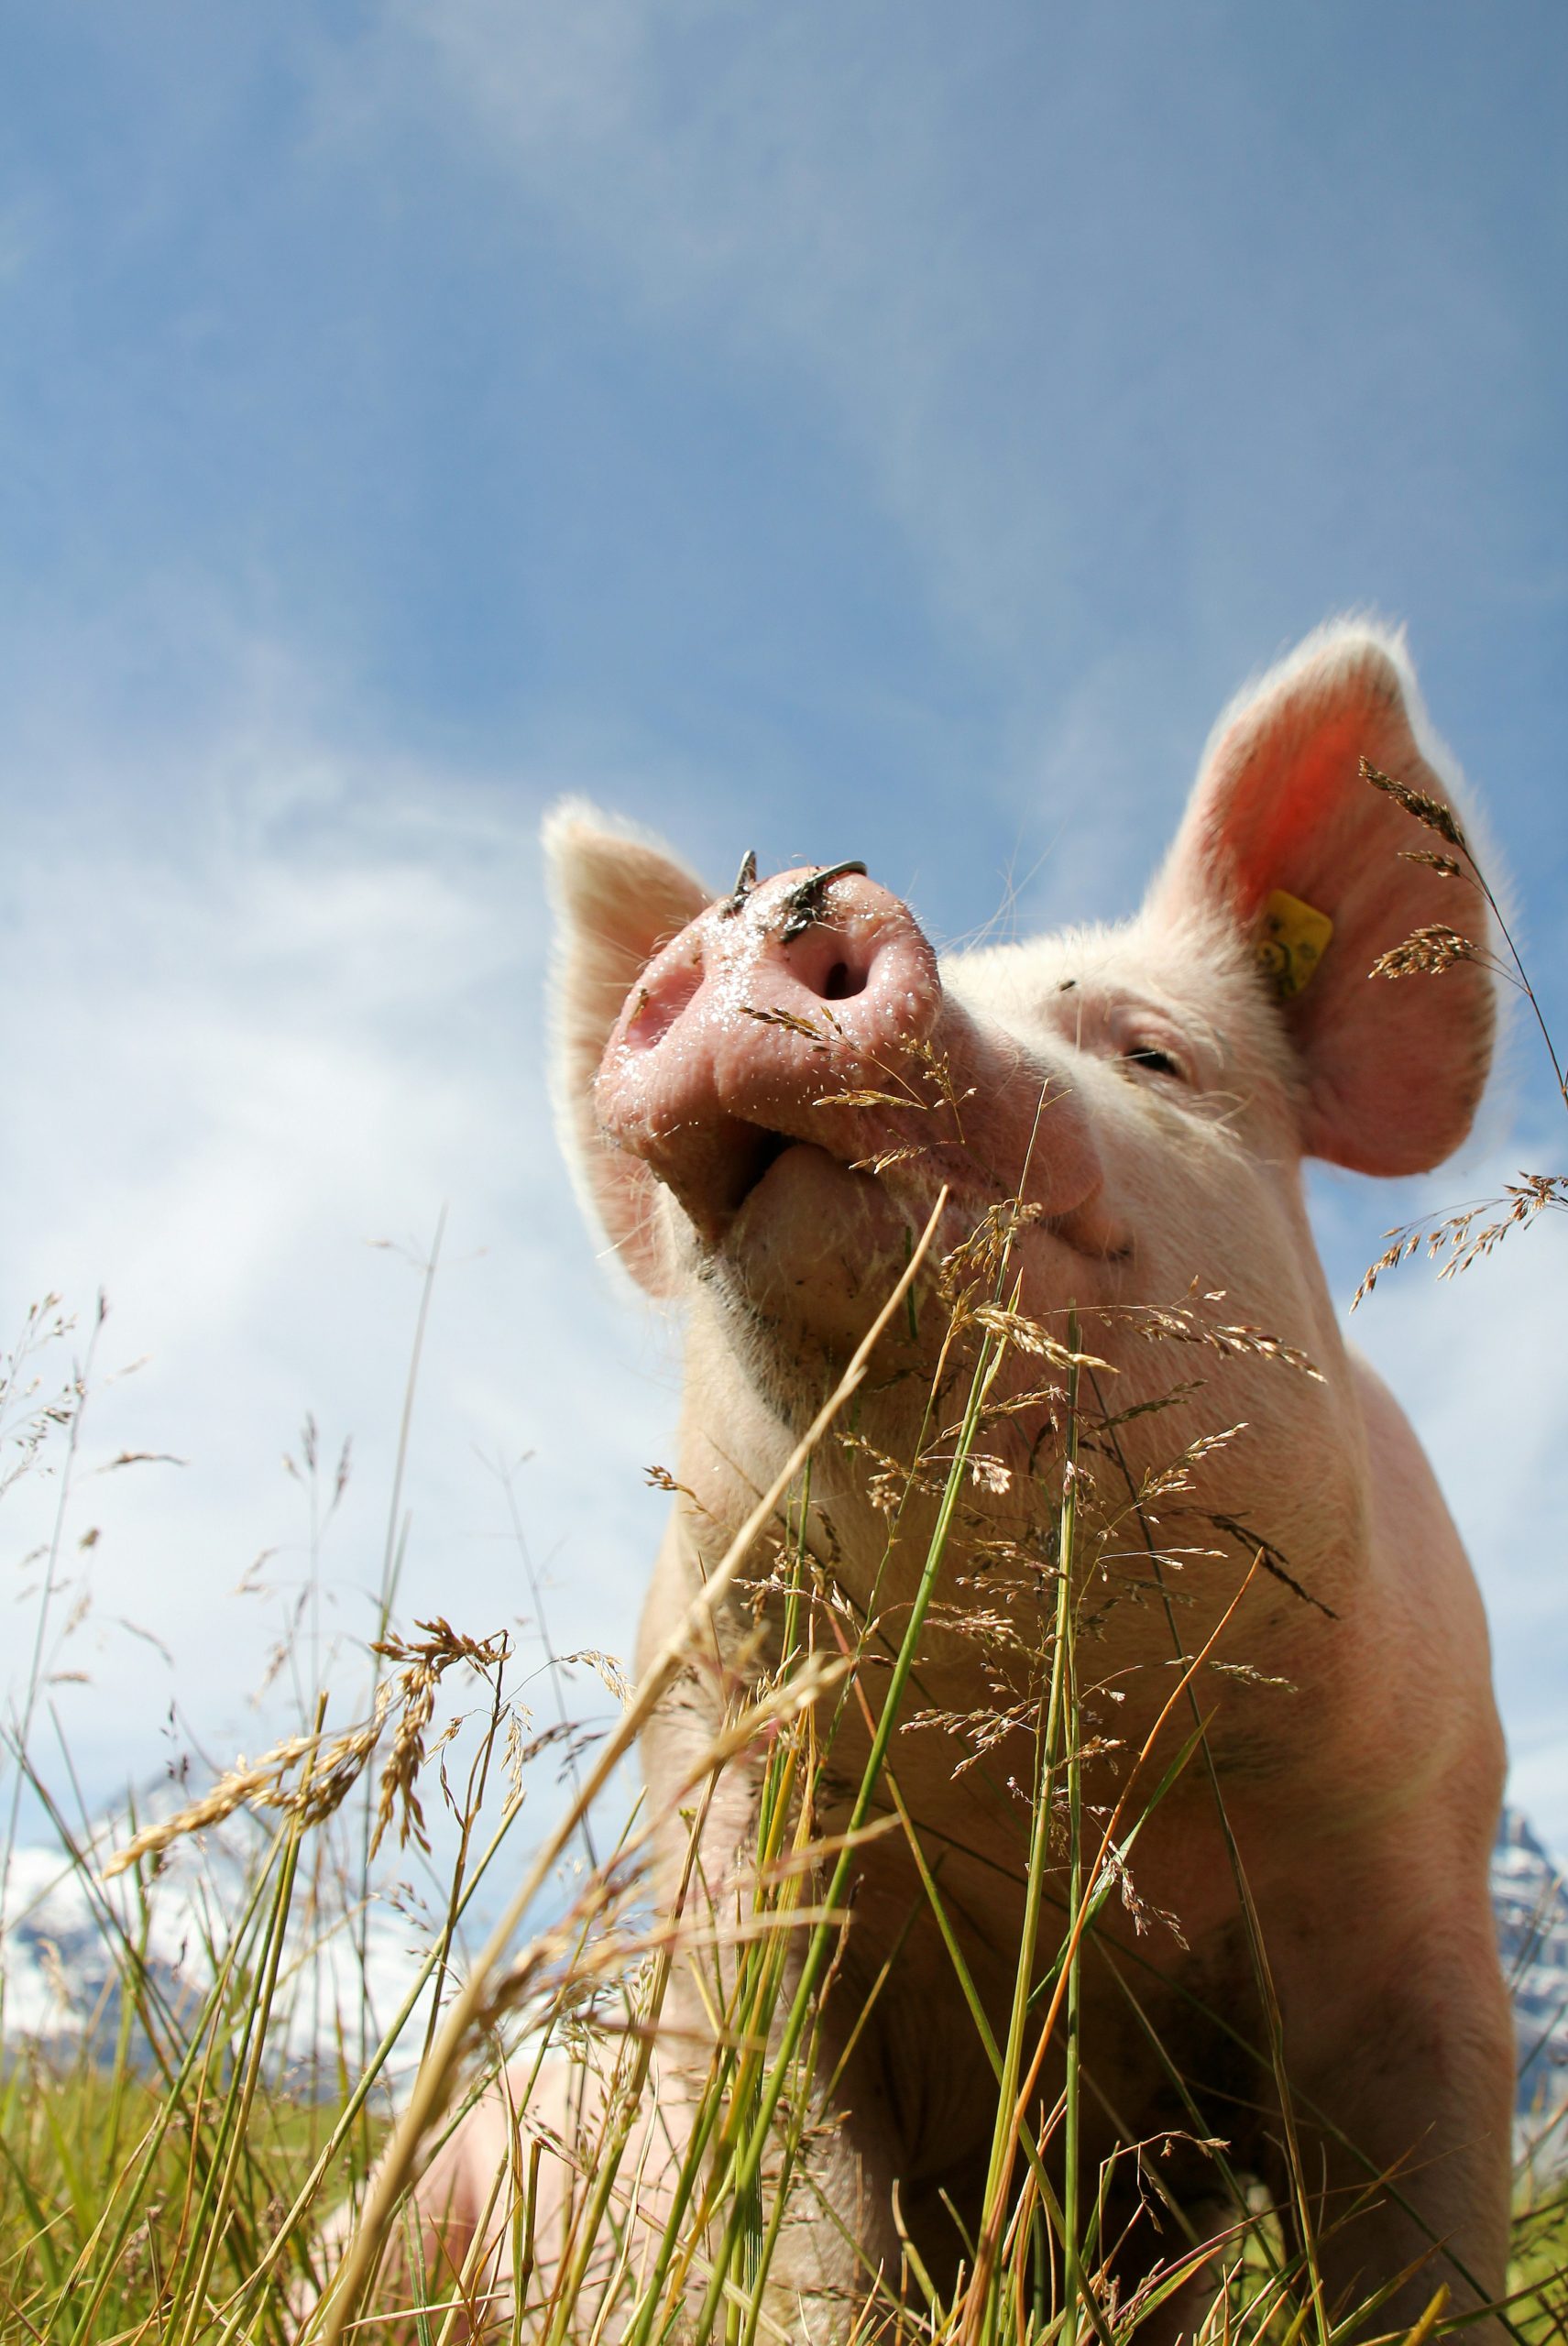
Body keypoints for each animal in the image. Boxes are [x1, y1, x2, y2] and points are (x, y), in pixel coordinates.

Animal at [359, 623, 1514, 2341]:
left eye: (1154, 1053)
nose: (783, 899)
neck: (1048, 1773)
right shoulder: (742, 1850)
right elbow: (808, 2231)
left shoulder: (1419, 1888)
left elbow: (1418, 2262)